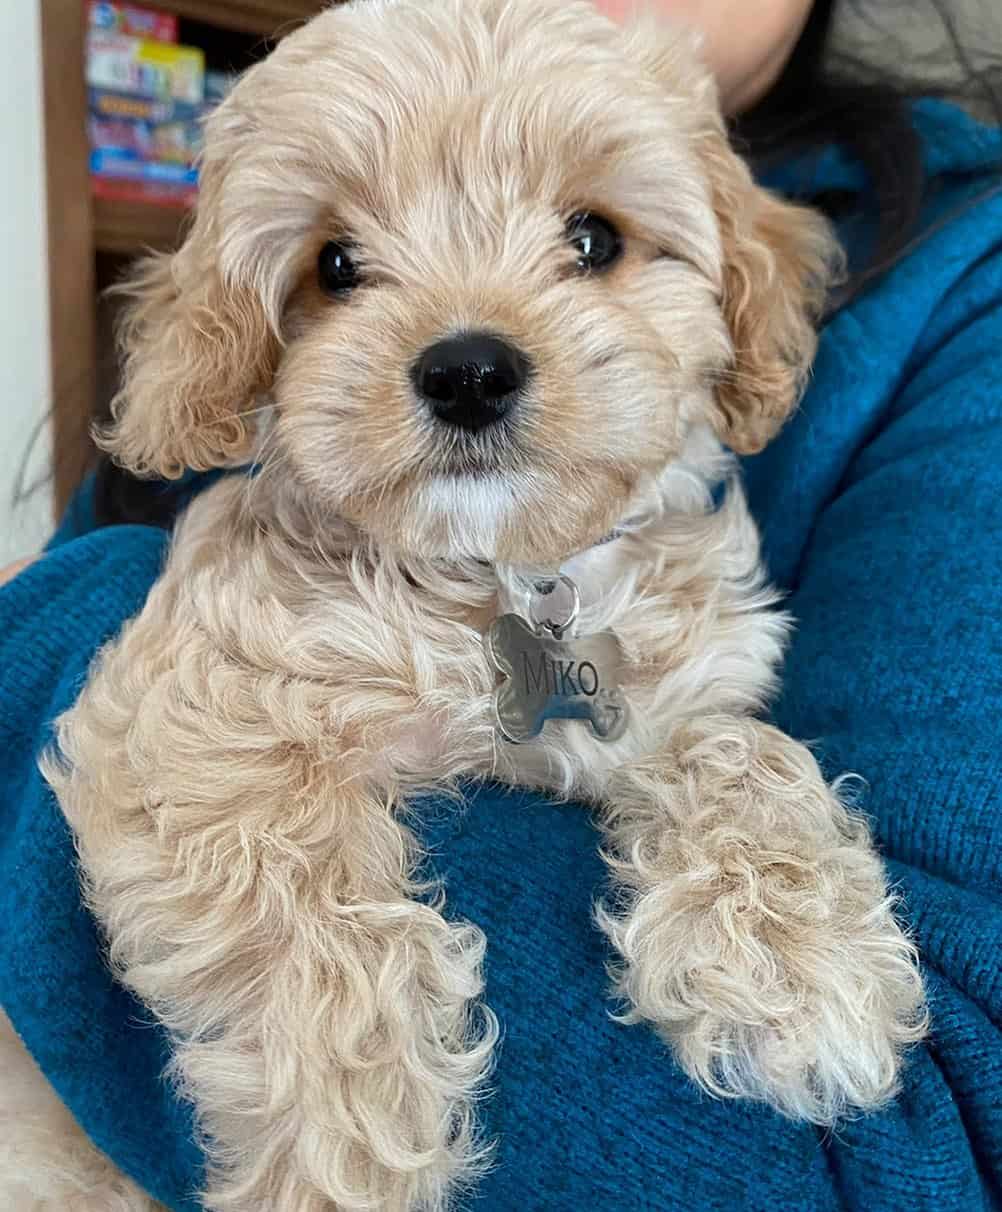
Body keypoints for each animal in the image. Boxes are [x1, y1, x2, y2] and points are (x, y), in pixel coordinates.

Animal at [9, 0, 930, 1207]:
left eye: (593, 240)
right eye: (335, 265)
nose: (469, 372)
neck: (504, 570)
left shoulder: (682, 686)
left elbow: (739, 747)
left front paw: (798, 962)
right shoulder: (196, 712)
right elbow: (293, 898)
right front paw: (345, 1148)